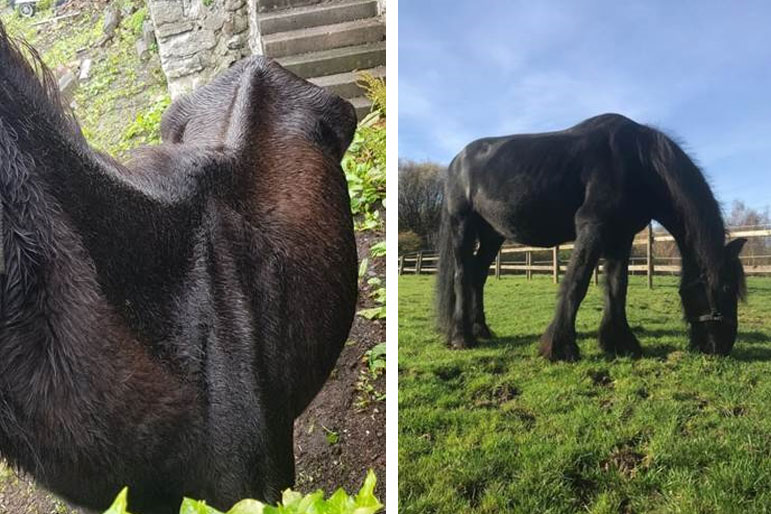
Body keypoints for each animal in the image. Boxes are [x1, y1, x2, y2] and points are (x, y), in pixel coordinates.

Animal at [440, 112, 748, 360]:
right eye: (724, 289)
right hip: (462, 225)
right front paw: (559, 348)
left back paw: (481, 330)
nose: (721, 347)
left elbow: (617, 286)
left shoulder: (621, 236)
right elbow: (577, 282)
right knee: (462, 275)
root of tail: (456, 162)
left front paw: (620, 343)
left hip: (492, 235)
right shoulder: (593, 226)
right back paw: (461, 338)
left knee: (478, 276)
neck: (638, 162)